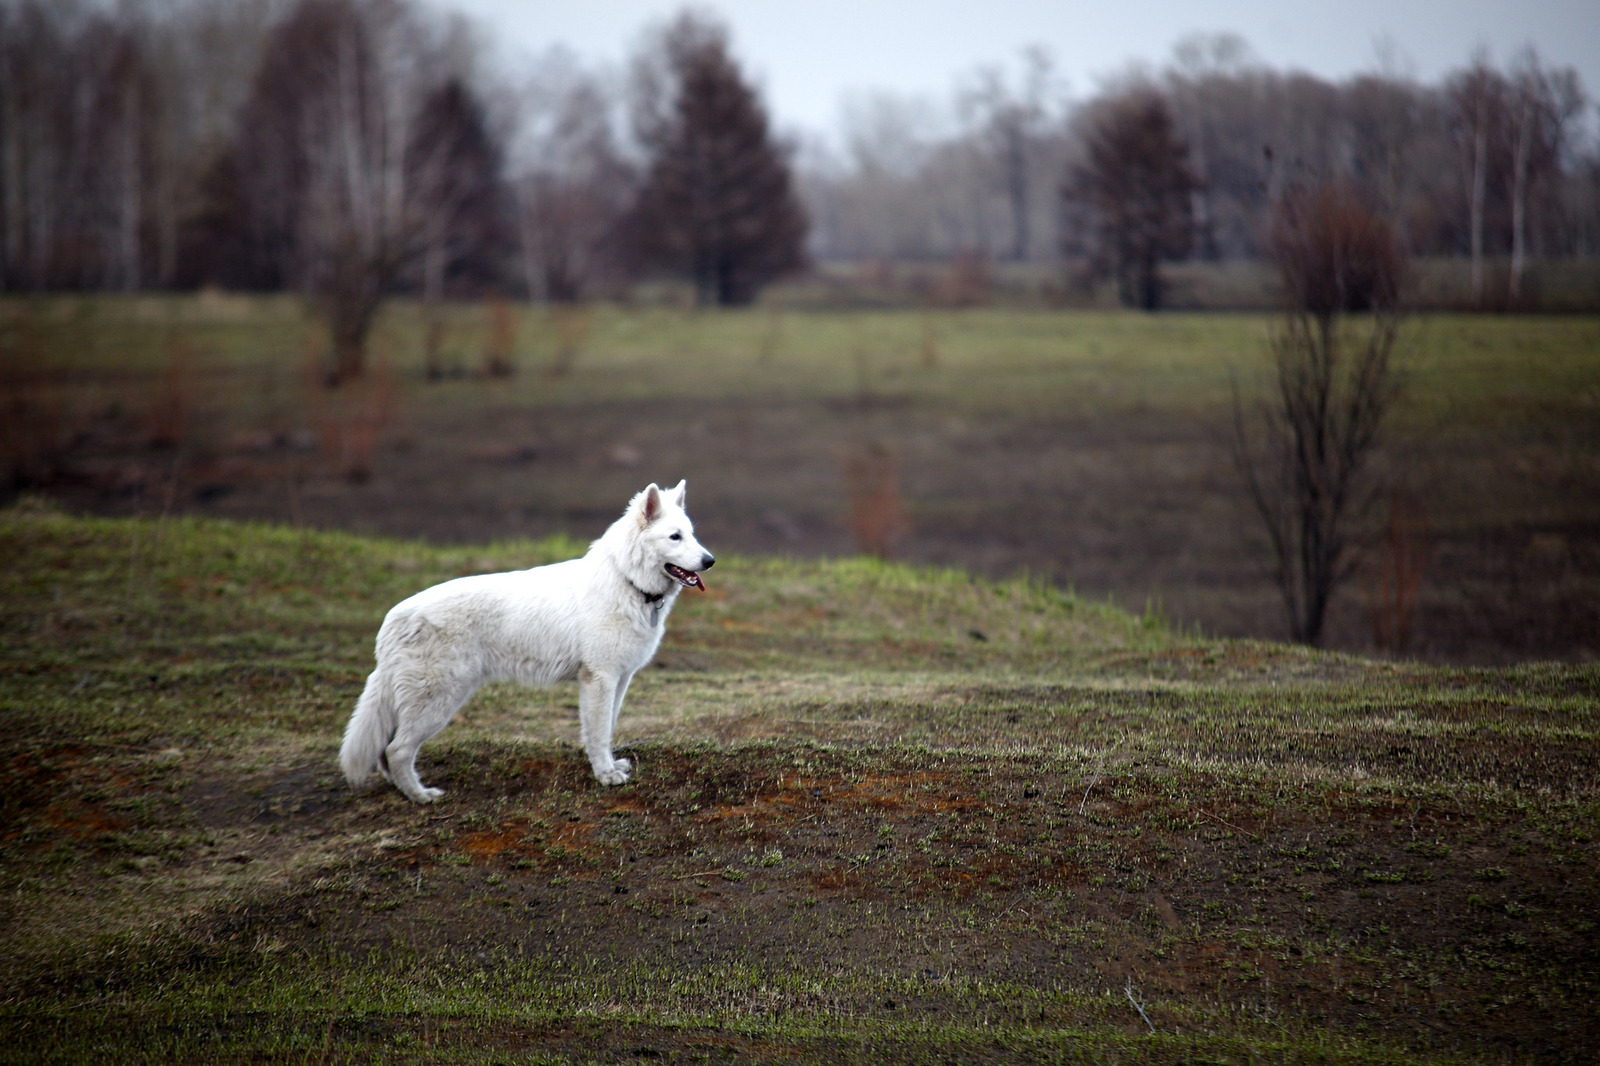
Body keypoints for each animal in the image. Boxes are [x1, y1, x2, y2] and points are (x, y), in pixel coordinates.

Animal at [342, 480, 713, 797]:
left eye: (692, 535)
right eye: (675, 537)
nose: (710, 561)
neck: (627, 580)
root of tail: (393, 618)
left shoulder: (619, 679)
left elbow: (607, 727)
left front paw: (610, 766)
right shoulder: (599, 679)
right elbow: (596, 732)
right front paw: (605, 775)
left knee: (385, 751)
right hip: (438, 702)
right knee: (397, 750)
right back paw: (421, 796)